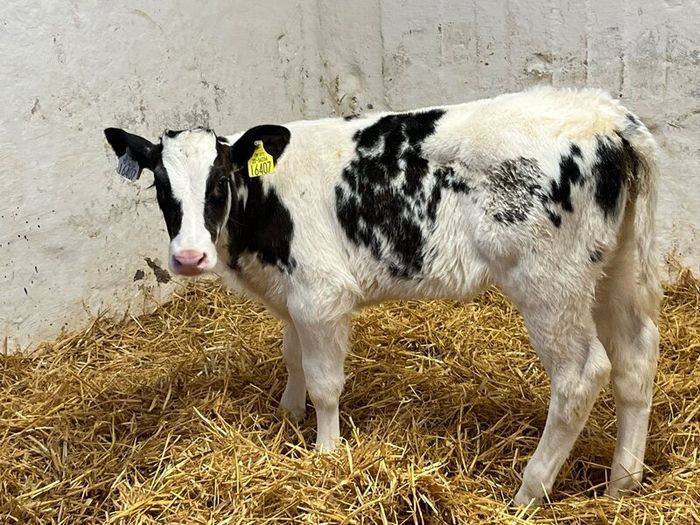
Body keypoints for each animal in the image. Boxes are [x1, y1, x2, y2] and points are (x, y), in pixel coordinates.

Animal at [103, 87, 661, 505]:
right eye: (160, 185)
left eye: (220, 181)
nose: (188, 257)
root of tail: (603, 113)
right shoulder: (293, 295)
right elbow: (292, 357)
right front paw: (288, 415)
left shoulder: (321, 295)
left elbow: (325, 383)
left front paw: (325, 453)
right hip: (615, 270)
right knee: (636, 357)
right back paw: (621, 484)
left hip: (549, 283)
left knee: (581, 376)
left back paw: (529, 491)